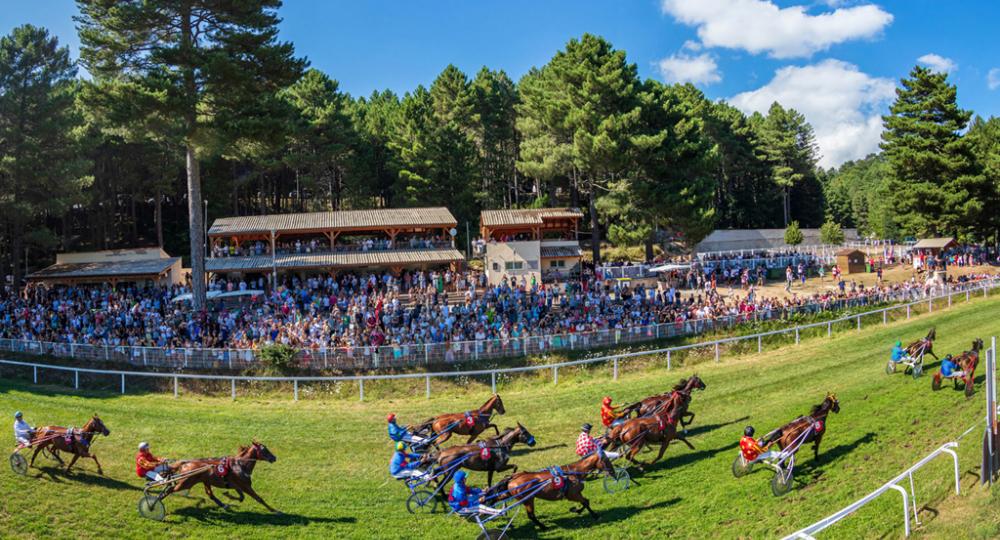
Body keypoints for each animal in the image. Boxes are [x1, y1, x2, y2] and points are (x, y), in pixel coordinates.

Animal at [482, 450, 612, 528]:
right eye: (606, 460)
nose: (612, 472)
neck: (573, 472)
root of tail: (513, 478)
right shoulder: (573, 494)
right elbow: (585, 502)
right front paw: (589, 514)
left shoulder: (575, 494)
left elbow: (586, 502)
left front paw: (578, 510)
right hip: (528, 499)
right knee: (531, 515)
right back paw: (543, 526)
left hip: (512, 494)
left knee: (498, 496)